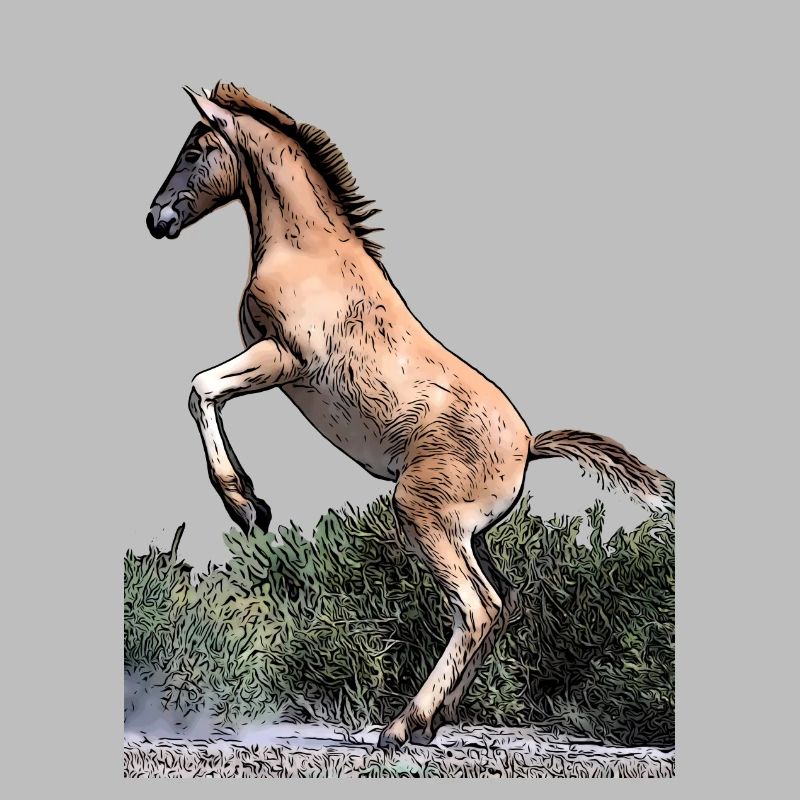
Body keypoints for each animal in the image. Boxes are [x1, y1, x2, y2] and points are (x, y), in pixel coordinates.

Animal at [146, 82, 674, 749]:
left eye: (194, 149)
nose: (155, 219)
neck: (307, 252)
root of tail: (529, 444)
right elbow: (203, 391)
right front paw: (251, 506)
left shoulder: (280, 358)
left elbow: (201, 389)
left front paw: (247, 507)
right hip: (470, 533)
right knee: (501, 603)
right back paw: (434, 722)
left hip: (424, 514)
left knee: (477, 608)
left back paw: (403, 725)